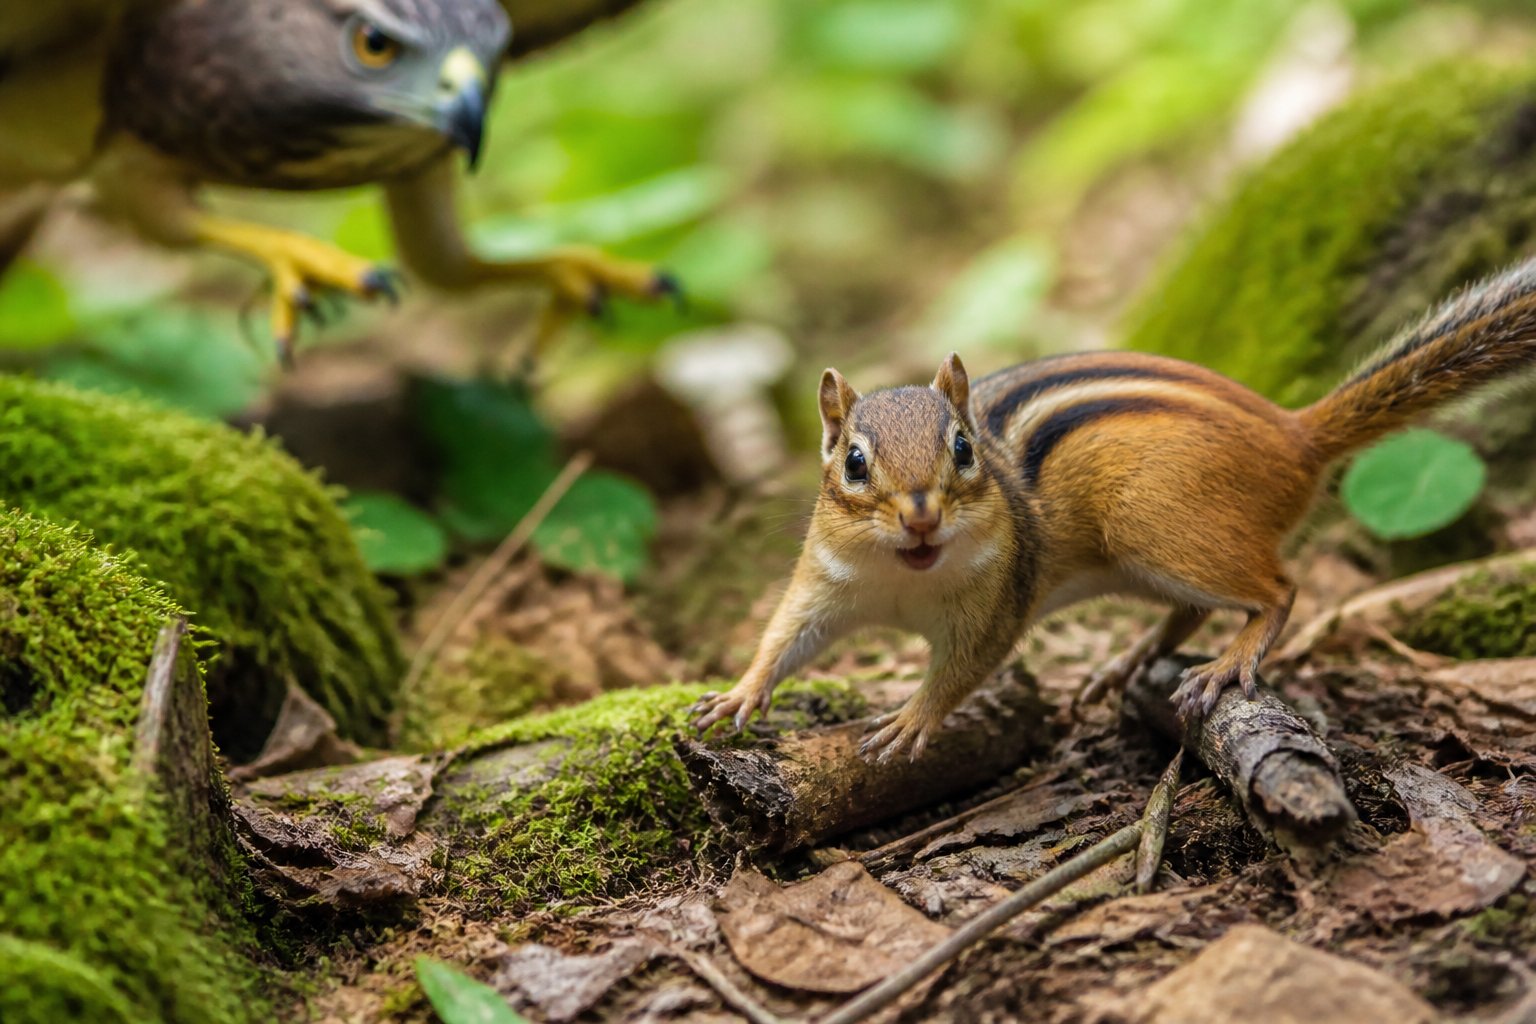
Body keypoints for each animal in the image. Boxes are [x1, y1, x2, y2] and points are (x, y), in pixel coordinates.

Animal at [691, 260, 1536, 762]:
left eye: (963, 450)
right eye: (854, 464)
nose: (922, 517)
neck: (908, 577)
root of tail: (1297, 434)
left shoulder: (994, 607)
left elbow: (964, 670)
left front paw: (913, 716)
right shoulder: (828, 583)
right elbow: (786, 635)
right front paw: (738, 693)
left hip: (1156, 525)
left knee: (1278, 590)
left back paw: (1227, 663)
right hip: (1147, 557)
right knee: (1194, 610)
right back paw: (1128, 661)